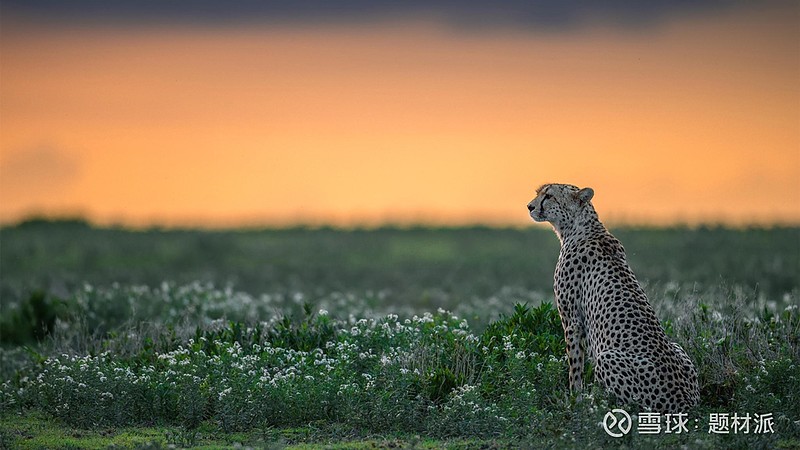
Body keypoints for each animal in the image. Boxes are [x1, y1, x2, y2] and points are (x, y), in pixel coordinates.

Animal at [528, 183, 696, 412]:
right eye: (539, 193)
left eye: (549, 195)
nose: (530, 206)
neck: (580, 227)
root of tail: (685, 402)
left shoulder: (571, 320)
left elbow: (575, 367)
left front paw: (574, 401)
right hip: (678, 347)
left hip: (607, 357)